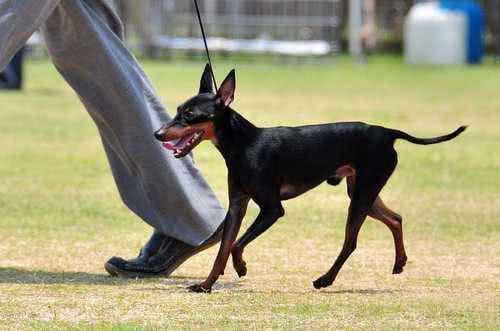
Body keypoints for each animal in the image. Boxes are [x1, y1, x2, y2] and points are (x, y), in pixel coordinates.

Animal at [153, 65, 464, 294]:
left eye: (190, 115)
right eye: (178, 110)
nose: (157, 134)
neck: (244, 144)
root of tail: (386, 132)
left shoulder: (272, 209)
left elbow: (236, 245)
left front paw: (241, 267)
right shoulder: (237, 206)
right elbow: (223, 248)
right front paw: (206, 285)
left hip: (362, 195)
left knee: (351, 242)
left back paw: (325, 279)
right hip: (363, 192)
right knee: (396, 218)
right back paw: (399, 263)